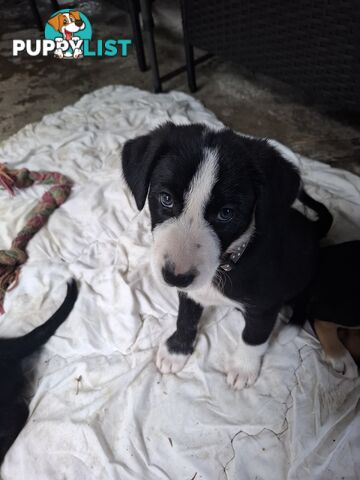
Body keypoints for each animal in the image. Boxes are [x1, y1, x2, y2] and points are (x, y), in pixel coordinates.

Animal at [121, 124, 332, 390]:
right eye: (166, 198)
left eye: (226, 213)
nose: (175, 278)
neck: (226, 264)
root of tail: (312, 229)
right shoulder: (191, 292)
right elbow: (186, 317)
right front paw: (177, 351)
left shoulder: (266, 305)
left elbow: (253, 337)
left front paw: (243, 368)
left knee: (305, 296)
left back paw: (291, 326)